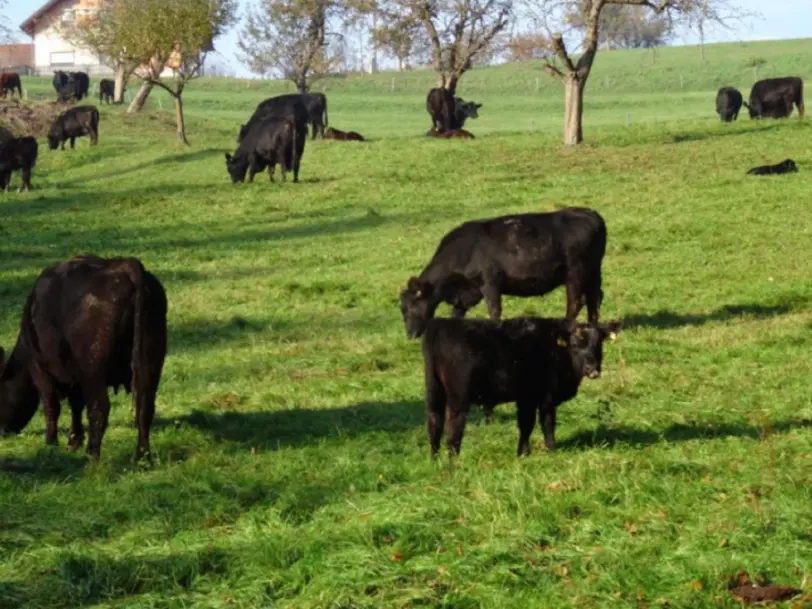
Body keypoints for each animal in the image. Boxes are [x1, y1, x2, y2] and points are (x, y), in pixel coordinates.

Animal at [0, 254, 168, 458]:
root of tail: (124, 265)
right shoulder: (75, 375)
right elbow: (76, 404)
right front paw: (74, 440)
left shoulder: (40, 368)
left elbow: (51, 405)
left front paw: (51, 443)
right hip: (150, 360)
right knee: (144, 405)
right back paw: (142, 455)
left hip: (93, 369)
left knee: (99, 407)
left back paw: (92, 454)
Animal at [400, 207, 608, 340]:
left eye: (409, 308)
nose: (409, 335)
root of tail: (592, 214)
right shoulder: (465, 294)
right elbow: (456, 315)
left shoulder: (490, 283)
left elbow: (494, 311)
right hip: (593, 271)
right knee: (594, 298)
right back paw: (594, 328)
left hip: (575, 272)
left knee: (575, 302)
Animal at [422, 316, 620, 454]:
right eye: (574, 344)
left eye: (599, 343)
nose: (592, 369)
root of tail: (441, 323)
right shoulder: (545, 396)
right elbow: (545, 423)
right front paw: (550, 450)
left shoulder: (526, 398)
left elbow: (525, 425)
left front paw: (523, 453)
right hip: (458, 398)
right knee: (453, 431)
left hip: (434, 391)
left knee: (434, 424)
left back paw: (435, 460)